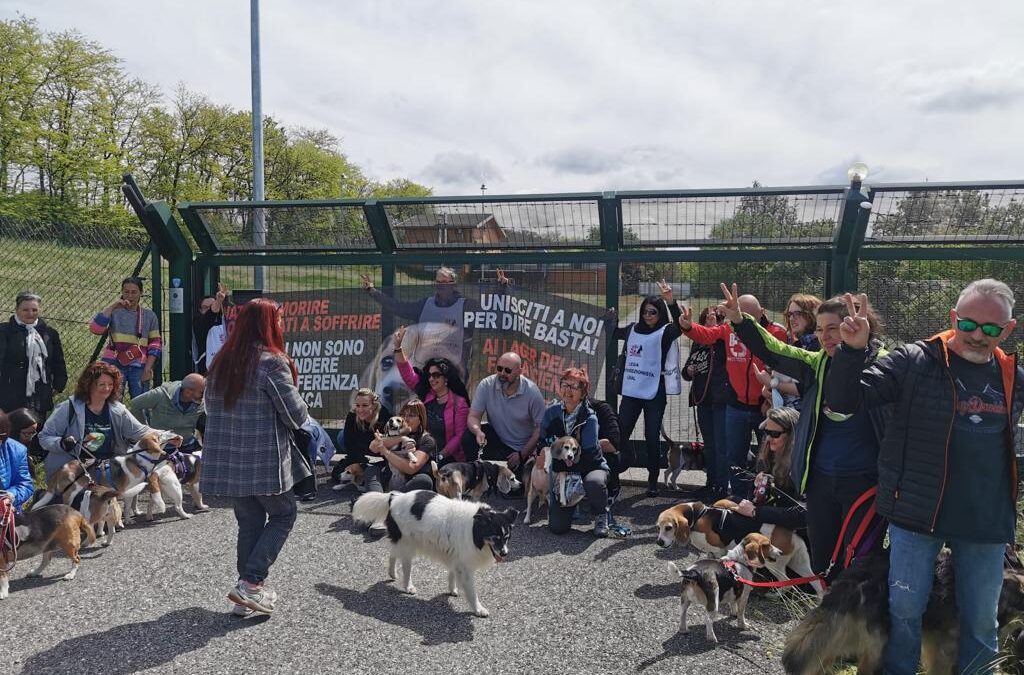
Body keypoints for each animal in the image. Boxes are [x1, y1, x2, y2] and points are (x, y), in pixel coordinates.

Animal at [354, 491, 520, 618]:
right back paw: (408, 587)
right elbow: (472, 592)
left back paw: (392, 573)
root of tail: (394, 497)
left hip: (401, 542)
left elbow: (452, 574)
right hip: (407, 544)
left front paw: (452, 590)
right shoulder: (465, 567)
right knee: (406, 567)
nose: (504, 553)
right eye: (495, 538)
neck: (474, 528)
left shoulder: (456, 557)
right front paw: (478, 609)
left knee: (392, 553)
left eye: (507, 537)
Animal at [655, 501, 823, 598]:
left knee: (787, 582)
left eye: (669, 528)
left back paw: (775, 595)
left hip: (774, 564)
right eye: (658, 527)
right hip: (800, 564)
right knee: (816, 583)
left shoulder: (719, 549)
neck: (697, 515)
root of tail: (793, 534)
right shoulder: (711, 551)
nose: (659, 542)